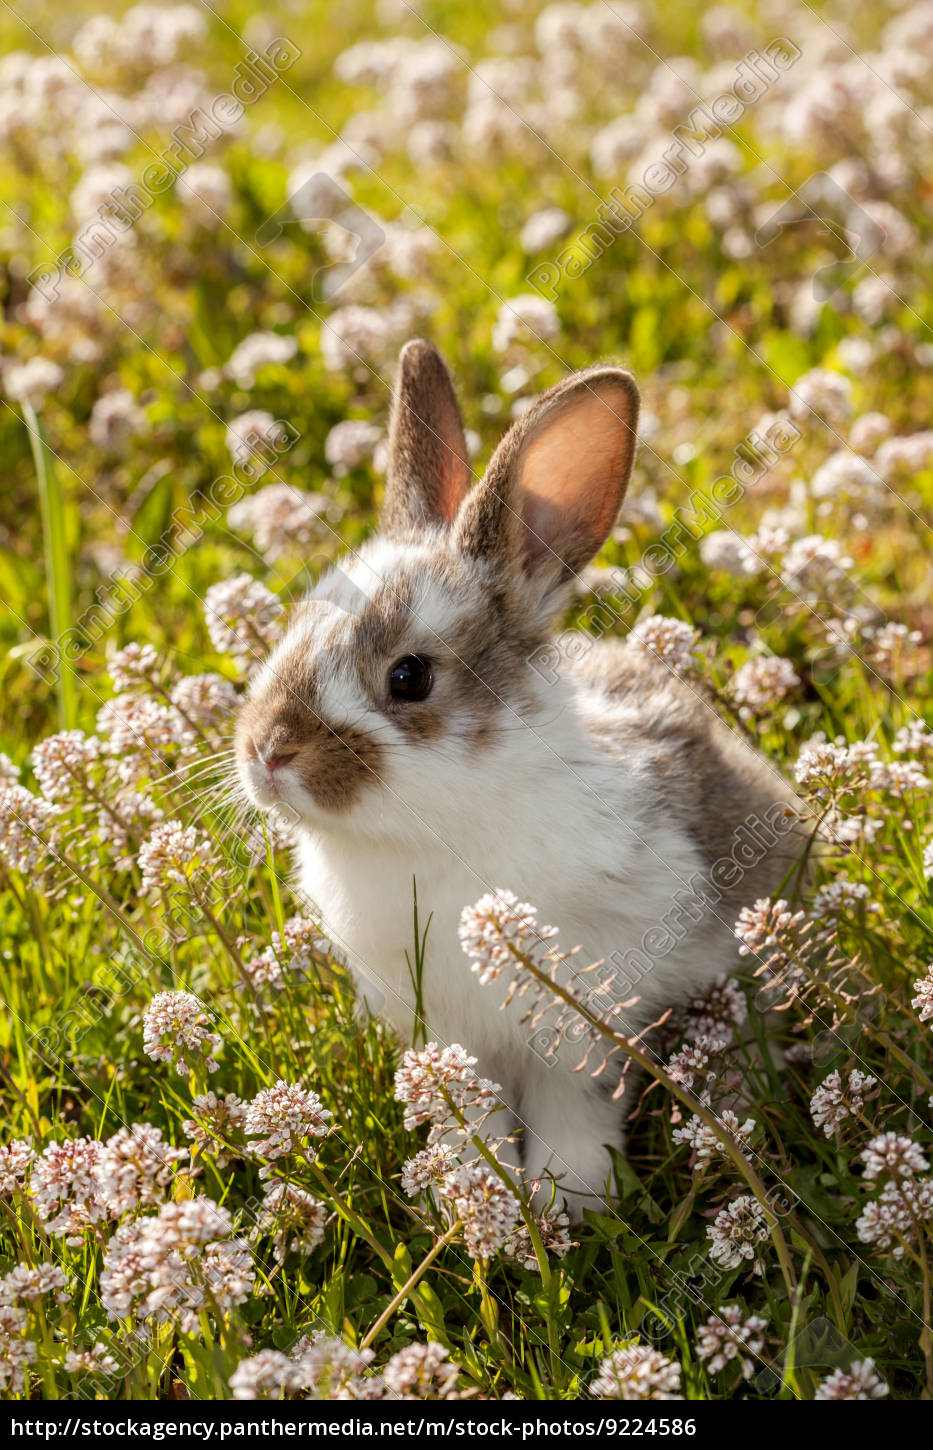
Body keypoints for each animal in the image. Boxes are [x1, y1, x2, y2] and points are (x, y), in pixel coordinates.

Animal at [235, 339, 800, 1223]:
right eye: (295, 625)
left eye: (409, 677)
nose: (268, 751)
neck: (436, 831)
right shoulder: (447, 1038)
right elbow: (468, 1113)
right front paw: (468, 1199)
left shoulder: (581, 1014)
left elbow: (575, 1101)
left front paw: (574, 1196)